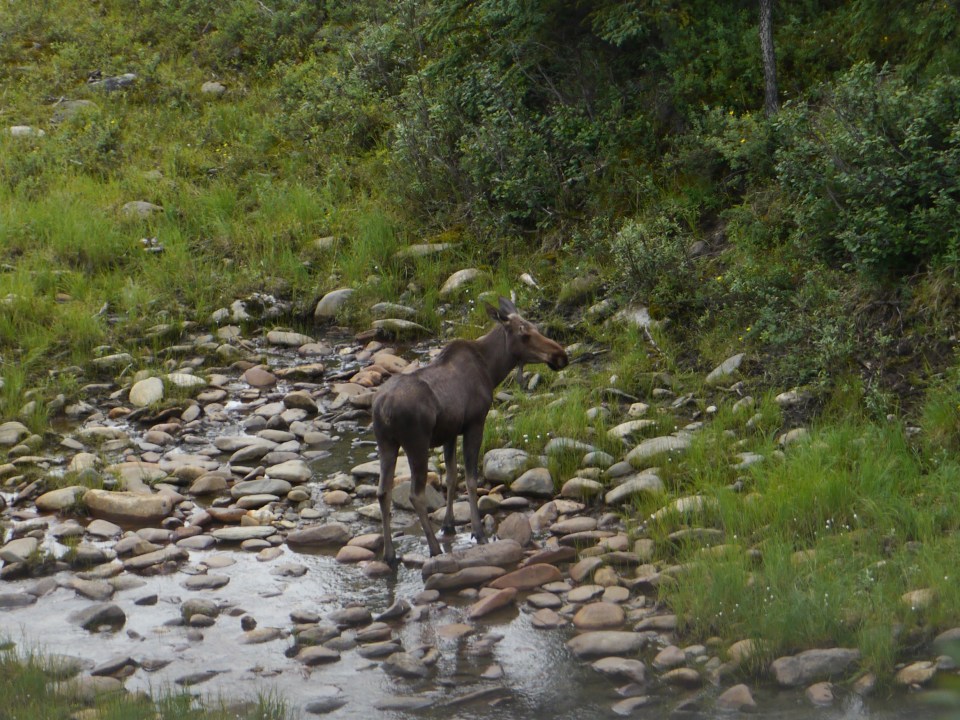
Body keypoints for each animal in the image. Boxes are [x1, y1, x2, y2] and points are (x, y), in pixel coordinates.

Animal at [372, 296, 569, 567]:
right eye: (525, 334)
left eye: (535, 327)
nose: (561, 355)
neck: (492, 370)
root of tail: (382, 407)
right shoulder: (475, 423)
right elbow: (471, 479)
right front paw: (478, 532)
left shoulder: (450, 432)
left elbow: (452, 477)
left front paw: (449, 525)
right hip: (416, 443)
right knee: (415, 495)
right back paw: (434, 549)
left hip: (386, 442)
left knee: (383, 492)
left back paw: (390, 554)